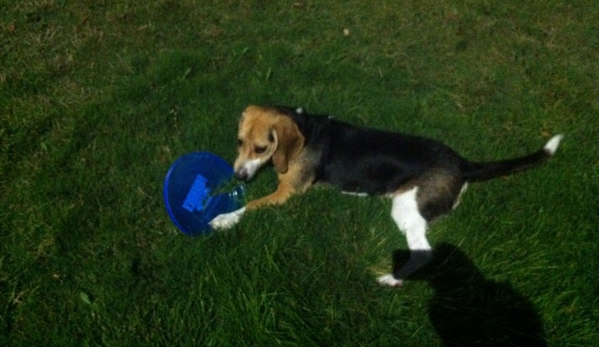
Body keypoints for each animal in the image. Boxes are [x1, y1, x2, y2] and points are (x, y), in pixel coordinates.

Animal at [210, 106, 564, 288]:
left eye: (261, 148)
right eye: (239, 142)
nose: (239, 175)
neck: (305, 128)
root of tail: (463, 163)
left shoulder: (288, 193)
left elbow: (249, 205)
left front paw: (223, 218)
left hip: (406, 207)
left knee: (423, 253)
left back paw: (391, 279)